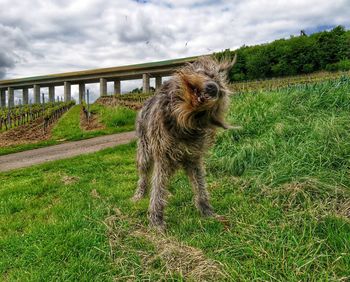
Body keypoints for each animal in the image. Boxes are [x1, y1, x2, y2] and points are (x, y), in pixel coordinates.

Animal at [133, 54, 237, 229]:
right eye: (206, 74)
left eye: (221, 91)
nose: (213, 88)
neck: (182, 119)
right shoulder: (163, 157)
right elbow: (157, 188)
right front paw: (156, 220)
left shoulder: (194, 159)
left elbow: (200, 187)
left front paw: (207, 212)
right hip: (145, 152)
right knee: (144, 175)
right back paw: (139, 194)